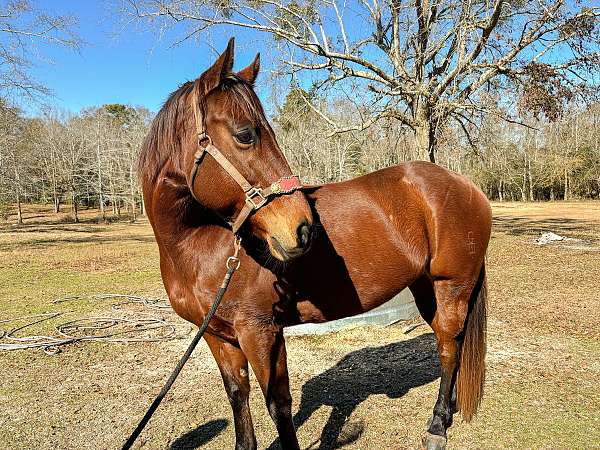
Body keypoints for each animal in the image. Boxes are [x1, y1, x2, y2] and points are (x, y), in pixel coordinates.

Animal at [141, 39, 492, 450]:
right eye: (245, 134)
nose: (303, 228)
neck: (198, 248)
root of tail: (464, 184)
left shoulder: (261, 333)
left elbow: (278, 405)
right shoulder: (218, 336)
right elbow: (238, 396)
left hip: (452, 286)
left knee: (449, 346)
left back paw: (437, 425)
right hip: (426, 288)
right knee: (446, 342)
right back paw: (448, 410)